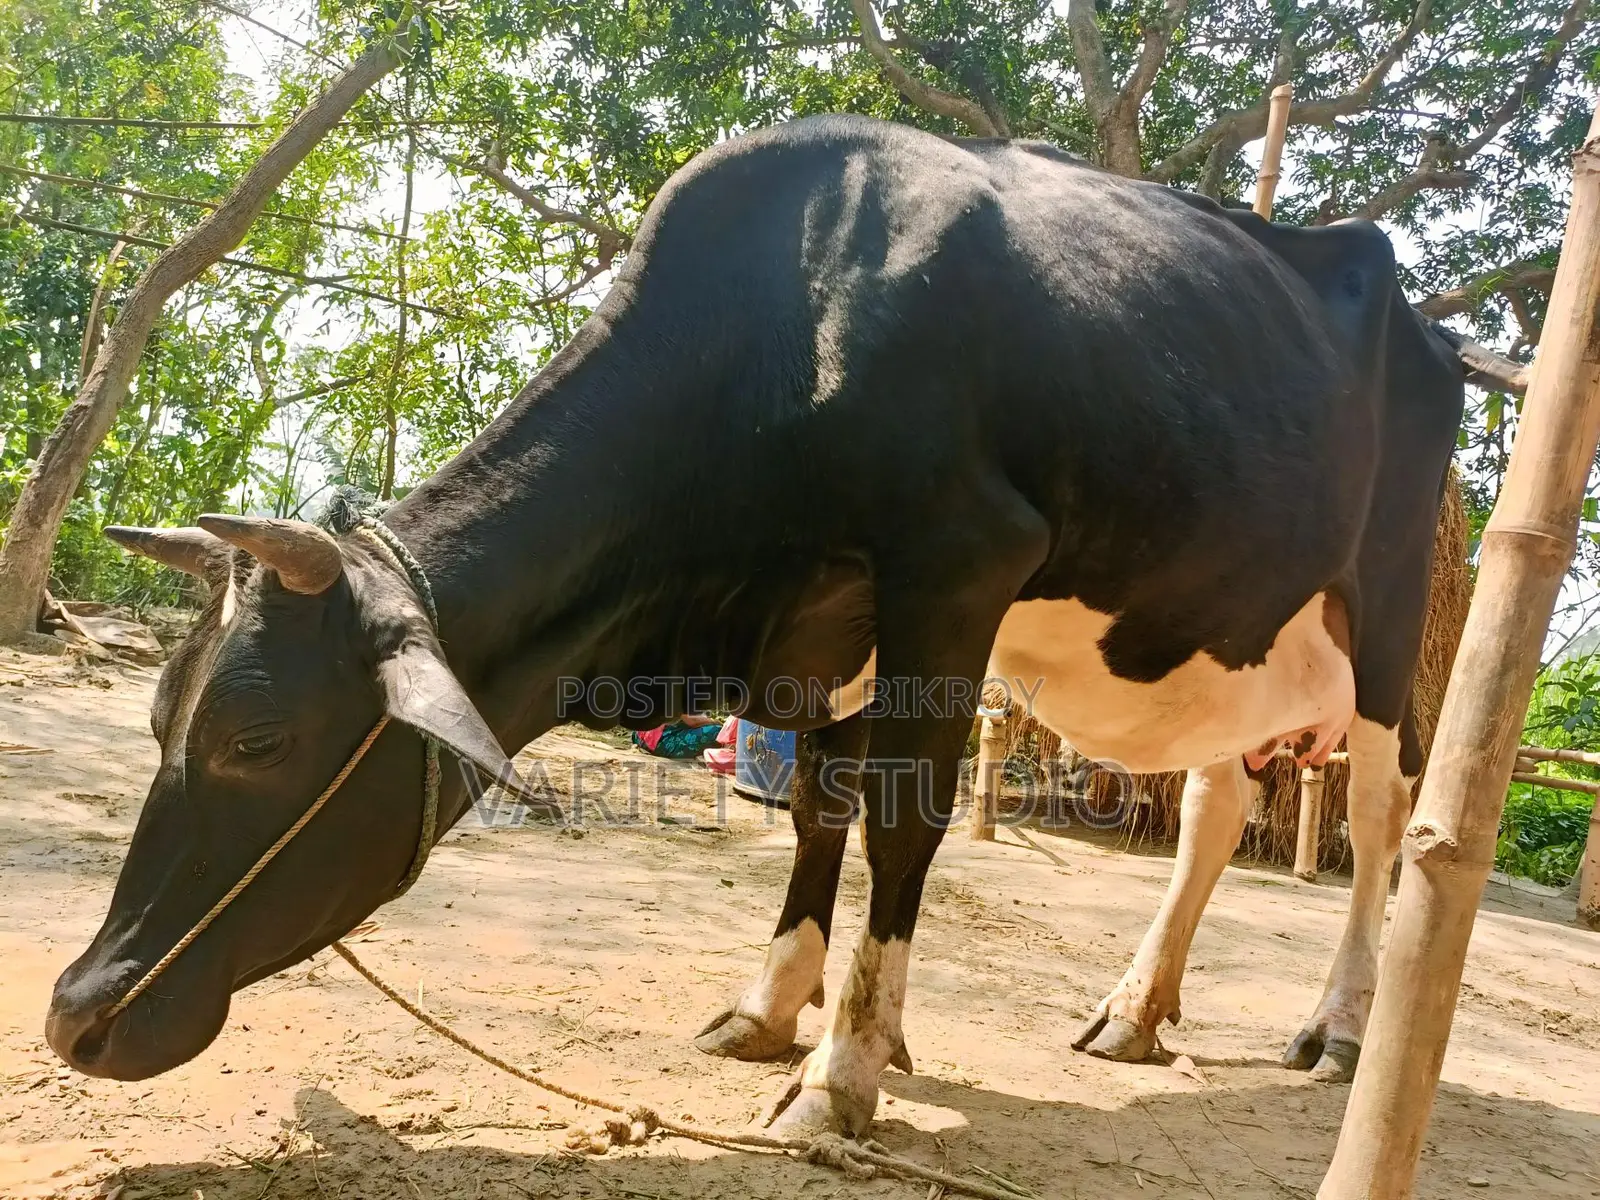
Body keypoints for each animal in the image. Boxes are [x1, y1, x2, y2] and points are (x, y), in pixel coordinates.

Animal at [44, 113, 1464, 1142]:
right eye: (163, 717)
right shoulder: (825, 628)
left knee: (1384, 813)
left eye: (259, 739)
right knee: (1217, 804)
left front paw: (843, 1072)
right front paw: (779, 1009)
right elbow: (816, 810)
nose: (74, 1016)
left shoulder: (958, 564)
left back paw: (1341, 1030)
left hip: (1388, 609)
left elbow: (897, 818)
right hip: (1238, 624)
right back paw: (1133, 1011)